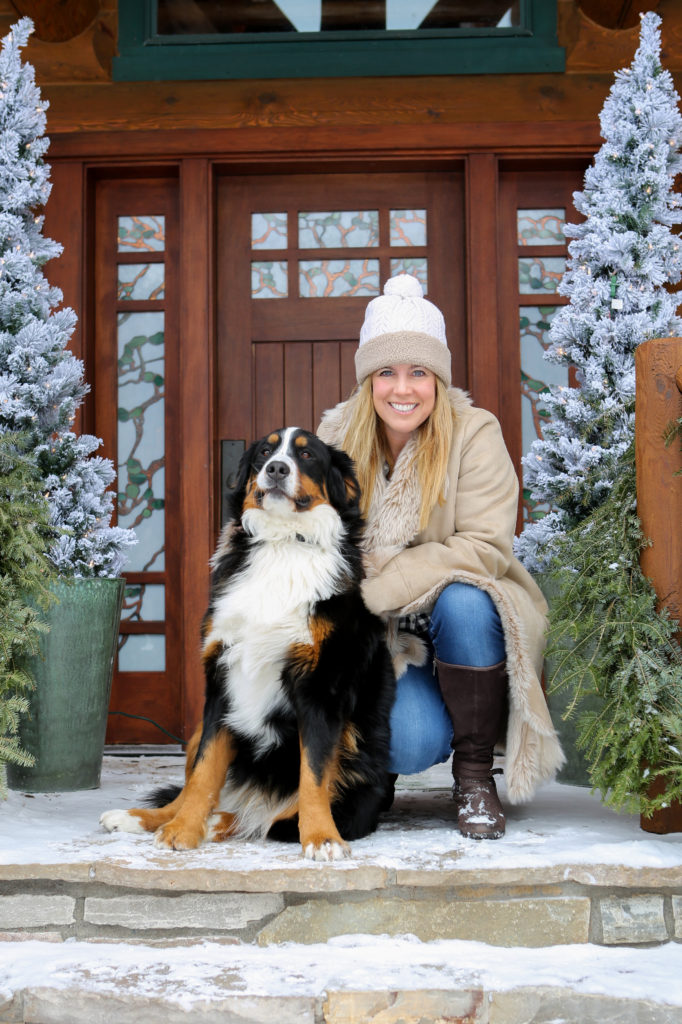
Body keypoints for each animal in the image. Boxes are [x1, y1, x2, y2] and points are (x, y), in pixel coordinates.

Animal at [103, 428, 395, 860]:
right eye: (264, 452)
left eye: (306, 455)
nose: (276, 468)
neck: (282, 544)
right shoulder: (222, 679)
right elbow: (204, 773)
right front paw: (182, 829)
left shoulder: (320, 688)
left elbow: (314, 774)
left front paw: (322, 838)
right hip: (194, 733)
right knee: (203, 791)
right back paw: (144, 818)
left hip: (357, 764)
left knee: (267, 819)